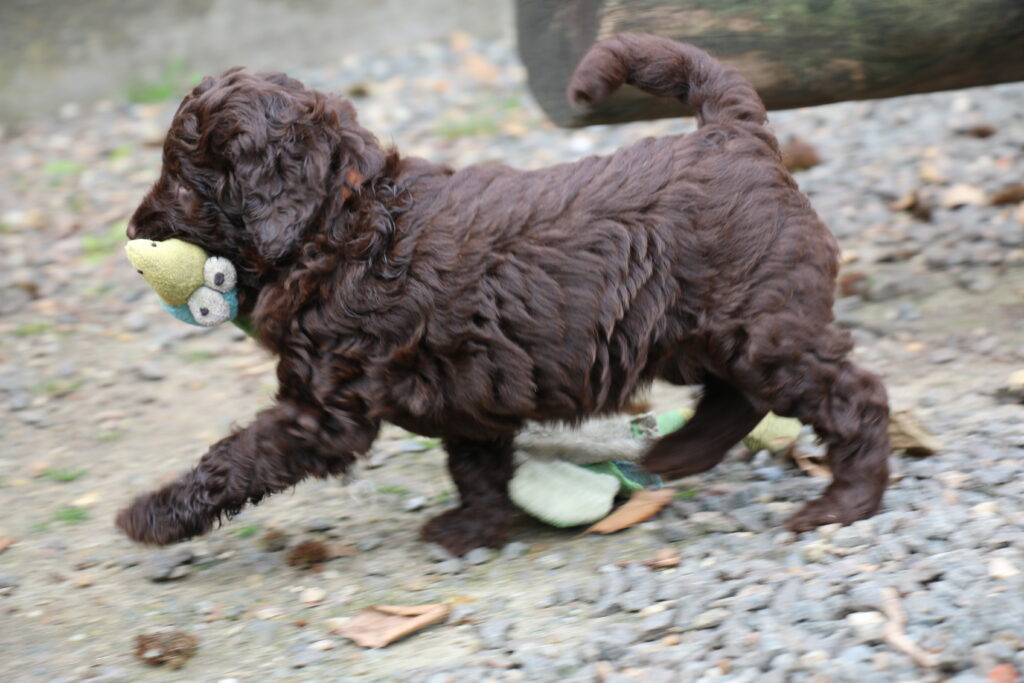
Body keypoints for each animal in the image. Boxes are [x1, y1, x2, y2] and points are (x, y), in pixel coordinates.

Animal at [118, 34, 891, 556]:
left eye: (183, 180)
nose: (131, 233)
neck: (341, 219)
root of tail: (731, 132)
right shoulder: (467, 385)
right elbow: (476, 464)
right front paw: (474, 527)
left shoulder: (323, 407)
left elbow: (239, 455)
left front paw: (152, 514)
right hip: (695, 330)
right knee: (738, 395)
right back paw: (678, 456)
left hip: (759, 323)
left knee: (850, 395)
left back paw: (843, 502)